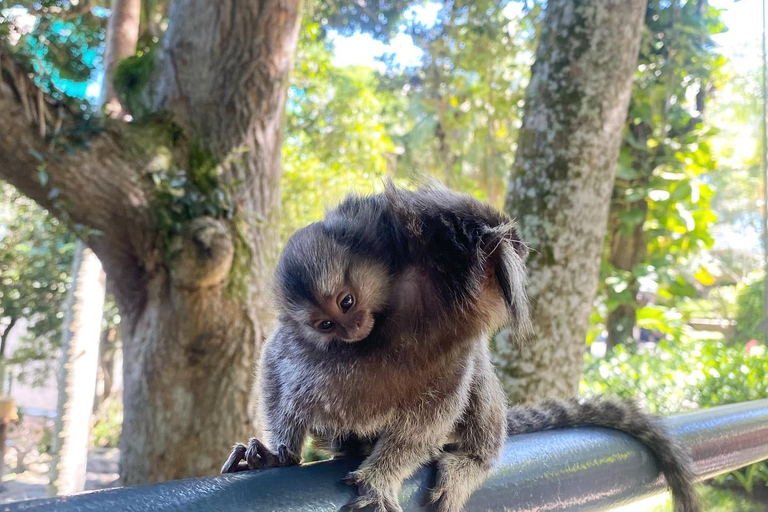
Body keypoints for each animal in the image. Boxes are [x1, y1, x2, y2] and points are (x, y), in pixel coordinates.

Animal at [224, 181, 704, 512]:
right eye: (327, 321)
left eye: (348, 301)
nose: (352, 325)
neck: (380, 340)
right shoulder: (297, 349)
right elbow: (275, 379)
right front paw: (280, 455)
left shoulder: (450, 358)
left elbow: (424, 425)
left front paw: (381, 478)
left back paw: (473, 459)